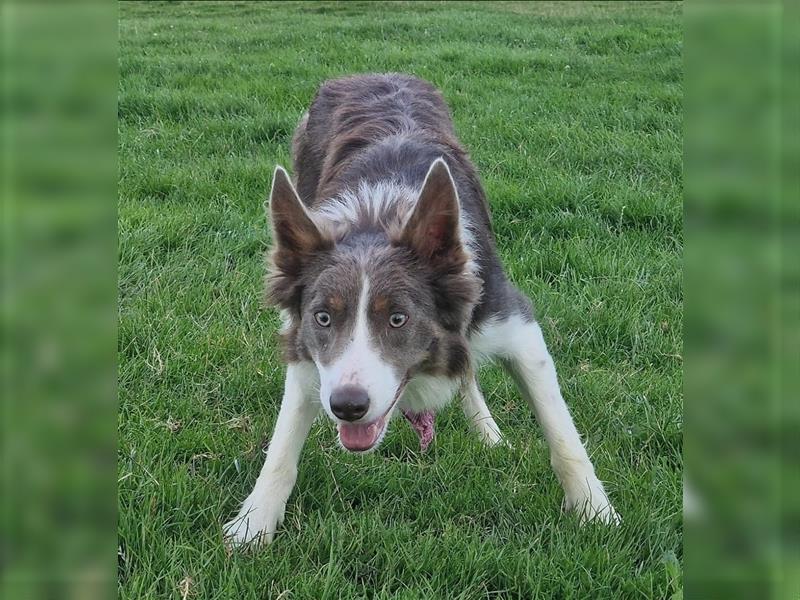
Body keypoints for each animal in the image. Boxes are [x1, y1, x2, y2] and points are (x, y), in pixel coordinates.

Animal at [225, 74, 620, 544]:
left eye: (399, 318)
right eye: (323, 317)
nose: (347, 406)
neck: (378, 217)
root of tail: (376, 73)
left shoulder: (514, 325)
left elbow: (561, 433)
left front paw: (596, 513)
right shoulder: (307, 349)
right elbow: (283, 444)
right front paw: (253, 524)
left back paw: (488, 432)